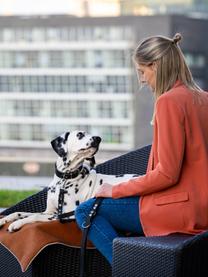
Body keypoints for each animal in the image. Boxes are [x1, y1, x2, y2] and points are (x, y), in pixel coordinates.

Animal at [0, 129, 140, 231]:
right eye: (80, 134)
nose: (98, 138)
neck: (63, 180)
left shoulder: (65, 215)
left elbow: (35, 215)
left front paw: (17, 223)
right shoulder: (48, 211)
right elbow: (19, 212)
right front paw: (4, 219)